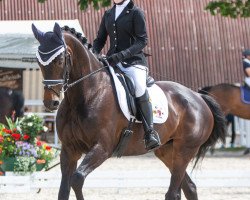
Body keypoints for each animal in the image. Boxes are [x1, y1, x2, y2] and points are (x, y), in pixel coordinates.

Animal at [31, 22, 227, 200]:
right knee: (189, 188)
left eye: (59, 60)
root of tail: (198, 97)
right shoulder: (69, 150)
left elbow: (77, 180)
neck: (86, 95)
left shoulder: (102, 148)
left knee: (173, 192)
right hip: (166, 150)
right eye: (39, 61)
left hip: (184, 149)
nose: (51, 102)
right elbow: (64, 190)